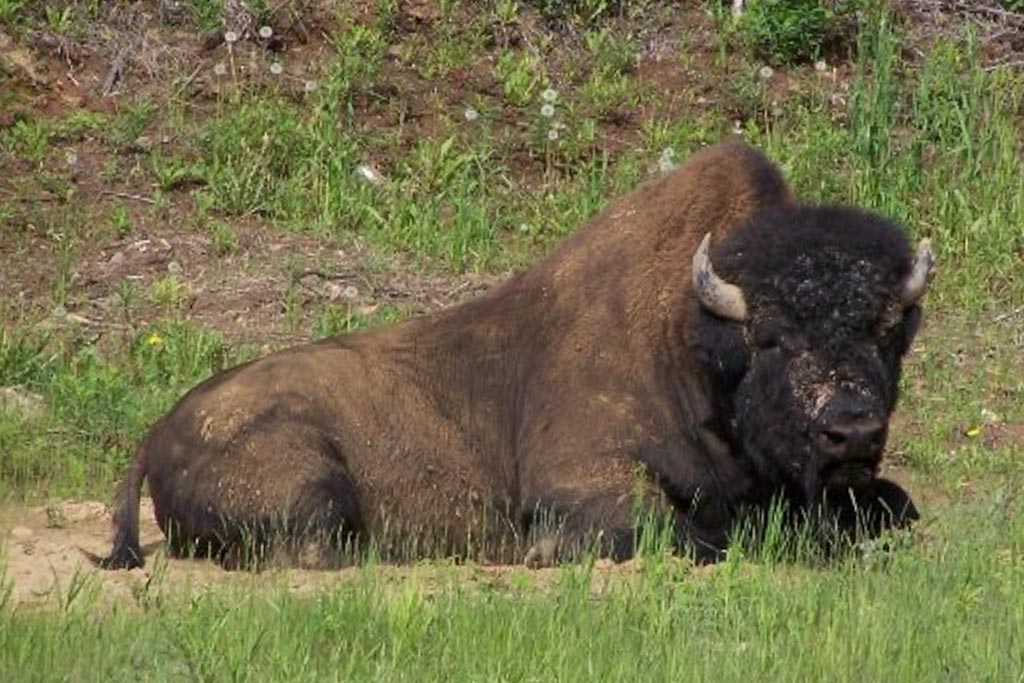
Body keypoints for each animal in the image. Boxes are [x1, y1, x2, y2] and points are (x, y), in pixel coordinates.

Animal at [97, 141, 937, 569]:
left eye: (887, 329)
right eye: (771, 336)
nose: (852, 429)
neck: (694, 344)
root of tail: (156, 431)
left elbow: (898, 504)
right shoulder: (586, 486)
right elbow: (682, 531)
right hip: (312, 486)